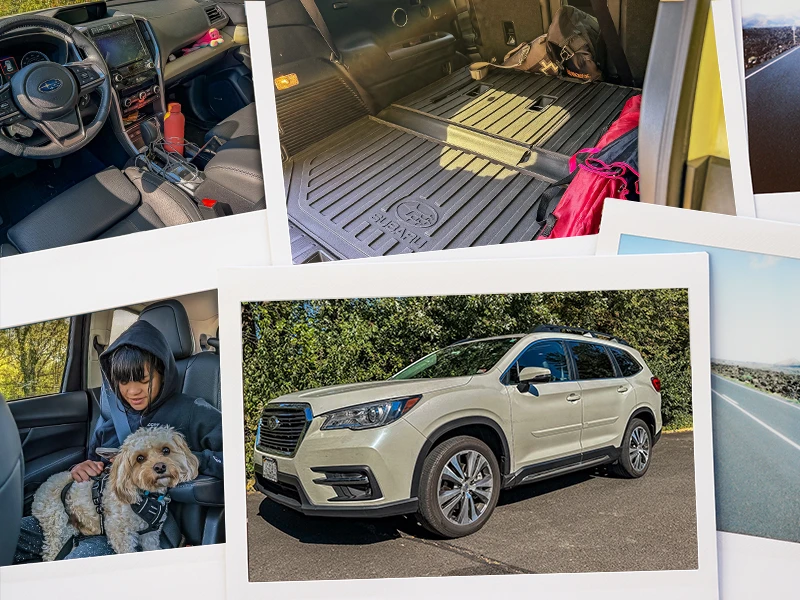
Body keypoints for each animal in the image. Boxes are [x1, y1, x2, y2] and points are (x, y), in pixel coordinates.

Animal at [32, 424, 198, 560]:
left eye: (166, 450)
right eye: (140, 458)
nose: (160, 467)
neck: (146, 495)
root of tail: (42, 486)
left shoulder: (150, 533)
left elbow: (151, 547)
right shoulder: (120, 532)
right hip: (57, 525)